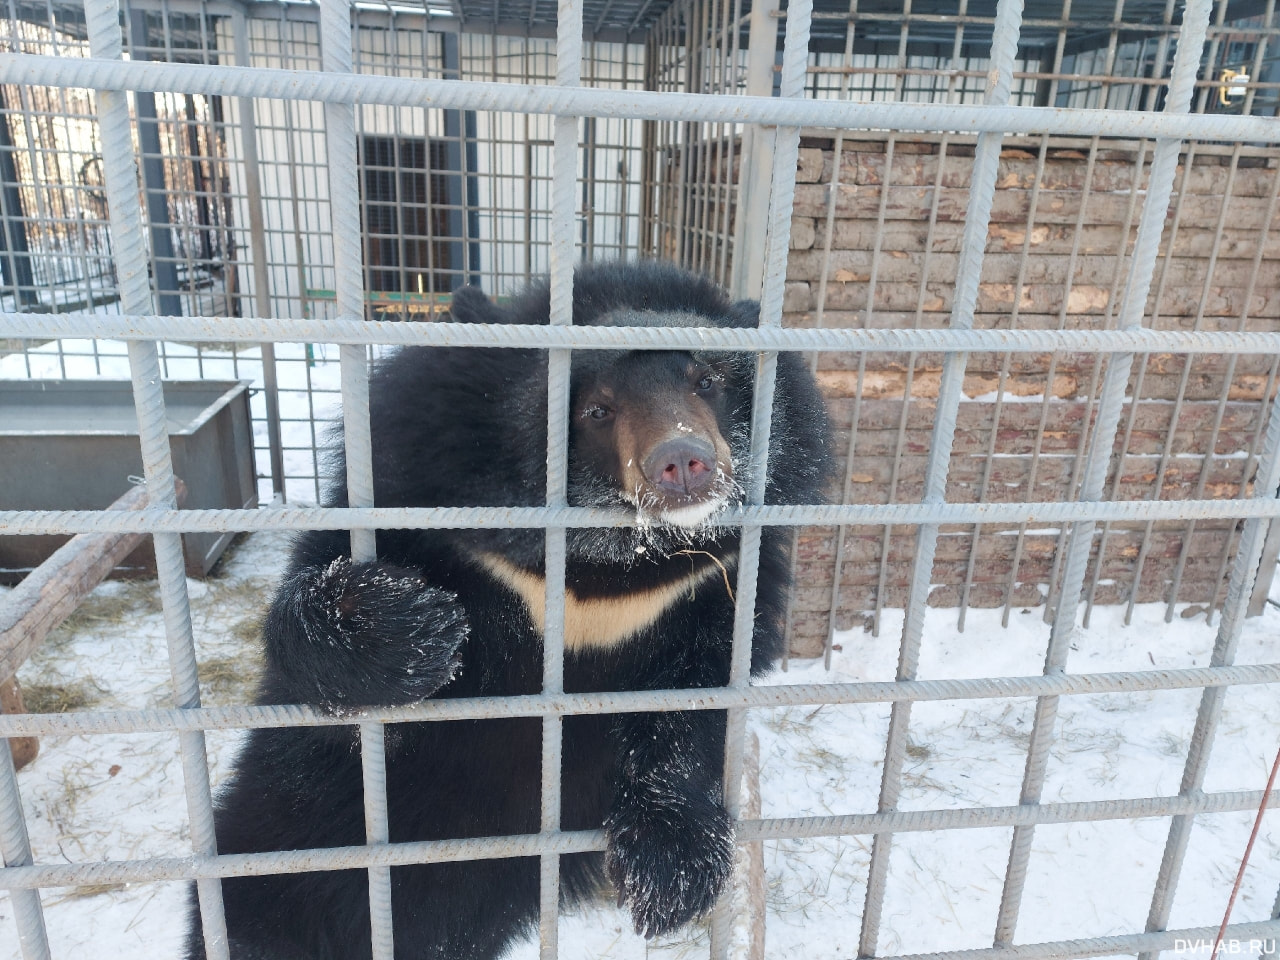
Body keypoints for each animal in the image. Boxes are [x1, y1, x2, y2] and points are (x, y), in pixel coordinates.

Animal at [185, 259, 834, 957]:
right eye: (597, 408)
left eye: (706, 381)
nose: (684, 461)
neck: (607, 570)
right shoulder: (416, 485)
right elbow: (323, 595)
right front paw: (407, 627)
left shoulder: (711, 584)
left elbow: (696, 696)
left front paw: (671, 869)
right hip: (303, 810)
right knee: (264, 898)